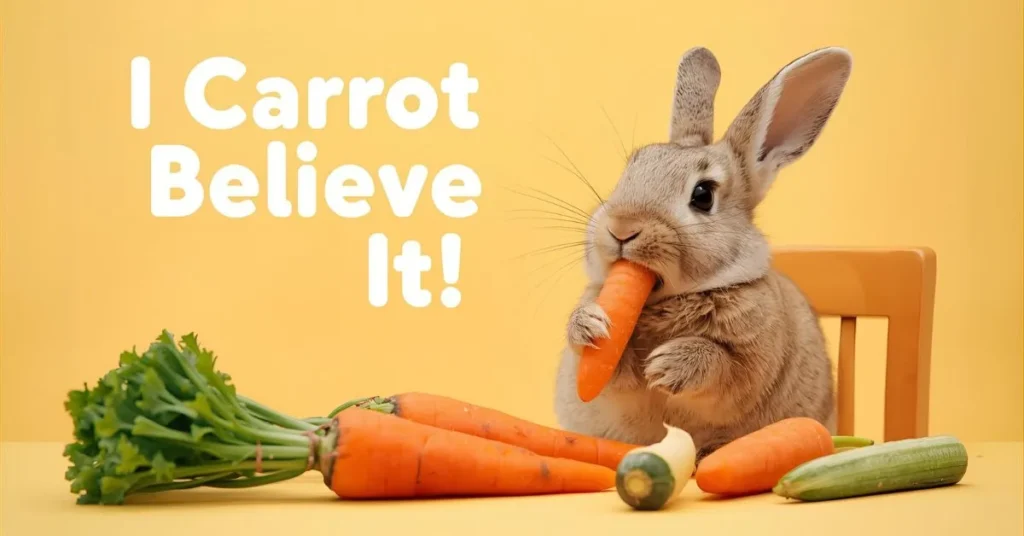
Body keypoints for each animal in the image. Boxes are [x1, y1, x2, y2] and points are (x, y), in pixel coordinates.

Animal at [553, 46, 851, 462]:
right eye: (630, 171)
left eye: (703, 195)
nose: (622, 228)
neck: (666, 300)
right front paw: (590, 327)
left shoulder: (749, 367)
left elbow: (723, 367)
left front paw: (667, 366)